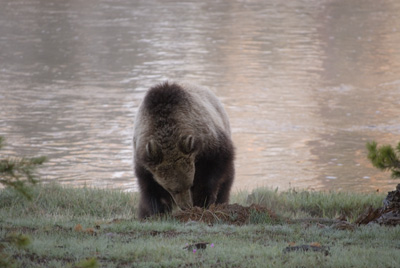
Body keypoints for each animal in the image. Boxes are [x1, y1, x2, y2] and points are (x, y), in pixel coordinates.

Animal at [134, 81, 234, 220]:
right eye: (172, 189)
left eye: (190, 184)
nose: (186, 206)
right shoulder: (144, 160)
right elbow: (150, 189)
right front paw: (156, 211)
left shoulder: (209, 146)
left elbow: (212, 174)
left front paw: (203, 201)